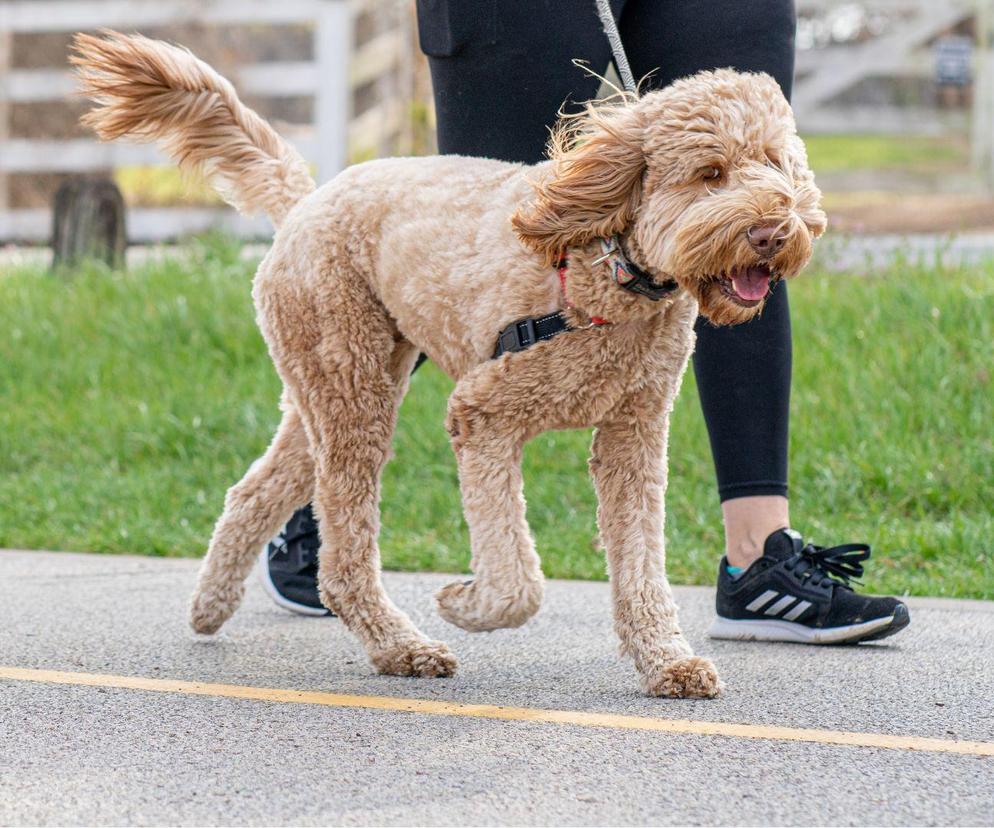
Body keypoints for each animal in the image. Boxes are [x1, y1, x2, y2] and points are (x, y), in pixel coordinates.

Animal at [73, 29, 824, 696]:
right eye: (711, 173)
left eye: (776, 165)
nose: (773, 231)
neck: (607, 268)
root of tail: (308, 201)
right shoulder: (482, 414)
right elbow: (517, 580)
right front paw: (466, 603)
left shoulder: (632, 437)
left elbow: (641, 565)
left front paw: (667, 661)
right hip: (352, 387)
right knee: (344, 554)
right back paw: (400, 647)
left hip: (338, 385)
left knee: (254, 492)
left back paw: (211, 606)